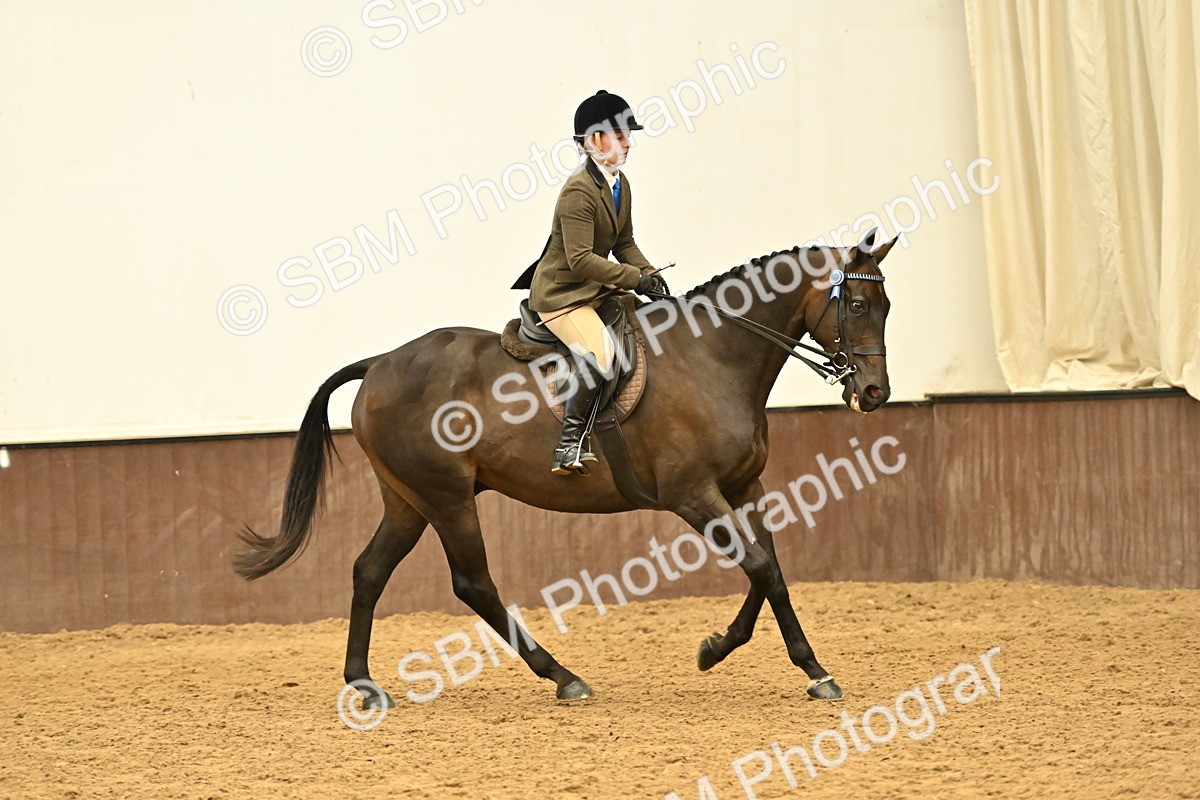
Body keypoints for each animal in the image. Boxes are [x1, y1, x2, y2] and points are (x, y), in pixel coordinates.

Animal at [233, 228, 896, 707]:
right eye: (858, 303)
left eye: (887, 305)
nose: (875, 393)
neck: (715, 356)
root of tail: (379, 363)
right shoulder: (693, 494)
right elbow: (760, 566)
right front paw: (765, 660)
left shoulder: (744, 486)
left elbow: (771, 569)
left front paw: (763, 658)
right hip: (446, 498)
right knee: (472, 583)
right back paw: (562, 677)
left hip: (408, 501)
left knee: (369, 571)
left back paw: (363, 684)